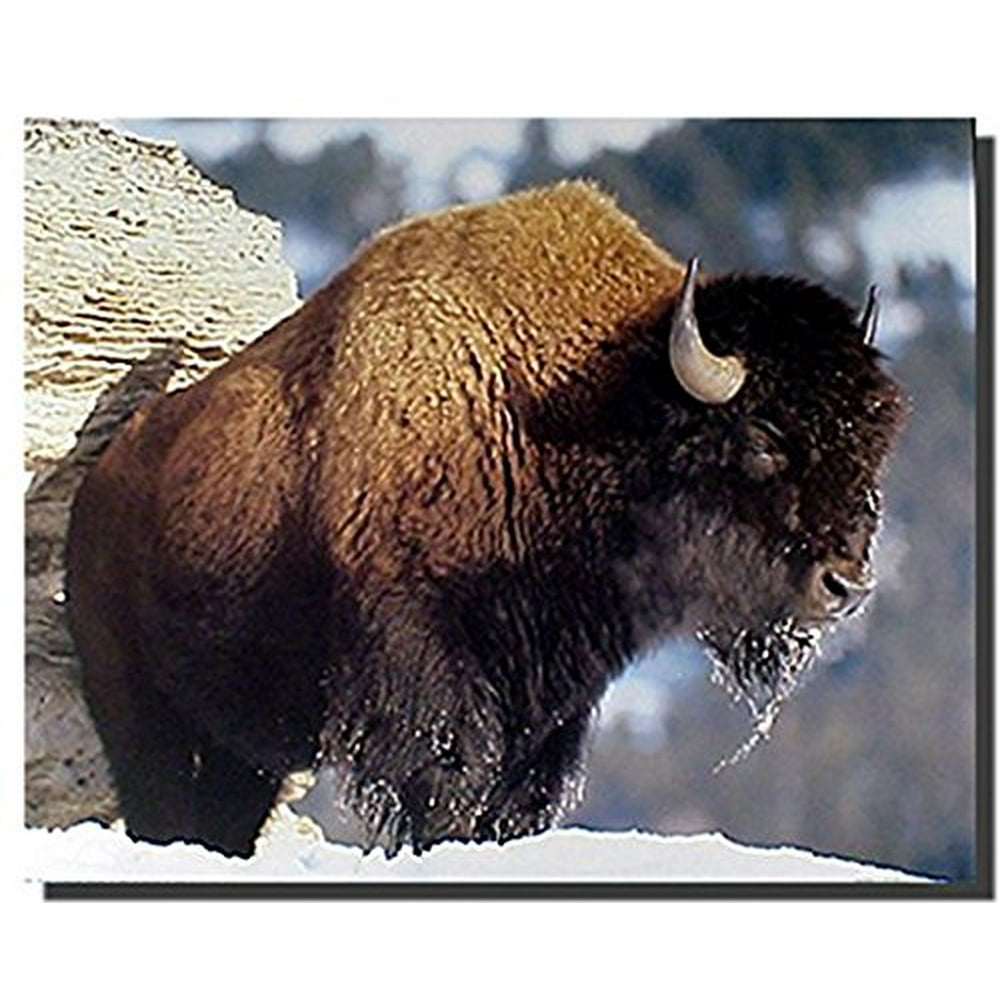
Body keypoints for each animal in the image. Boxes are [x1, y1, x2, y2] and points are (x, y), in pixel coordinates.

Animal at [65, 181, 908, 857]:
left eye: (875, 442)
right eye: (762, 438)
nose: (846, 584)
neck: (583, 408)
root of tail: (98, 484)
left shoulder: (553, 709)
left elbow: (514, 801)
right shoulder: (426, 678)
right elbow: (450, 784)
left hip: (243, 751)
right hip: (140, 714)